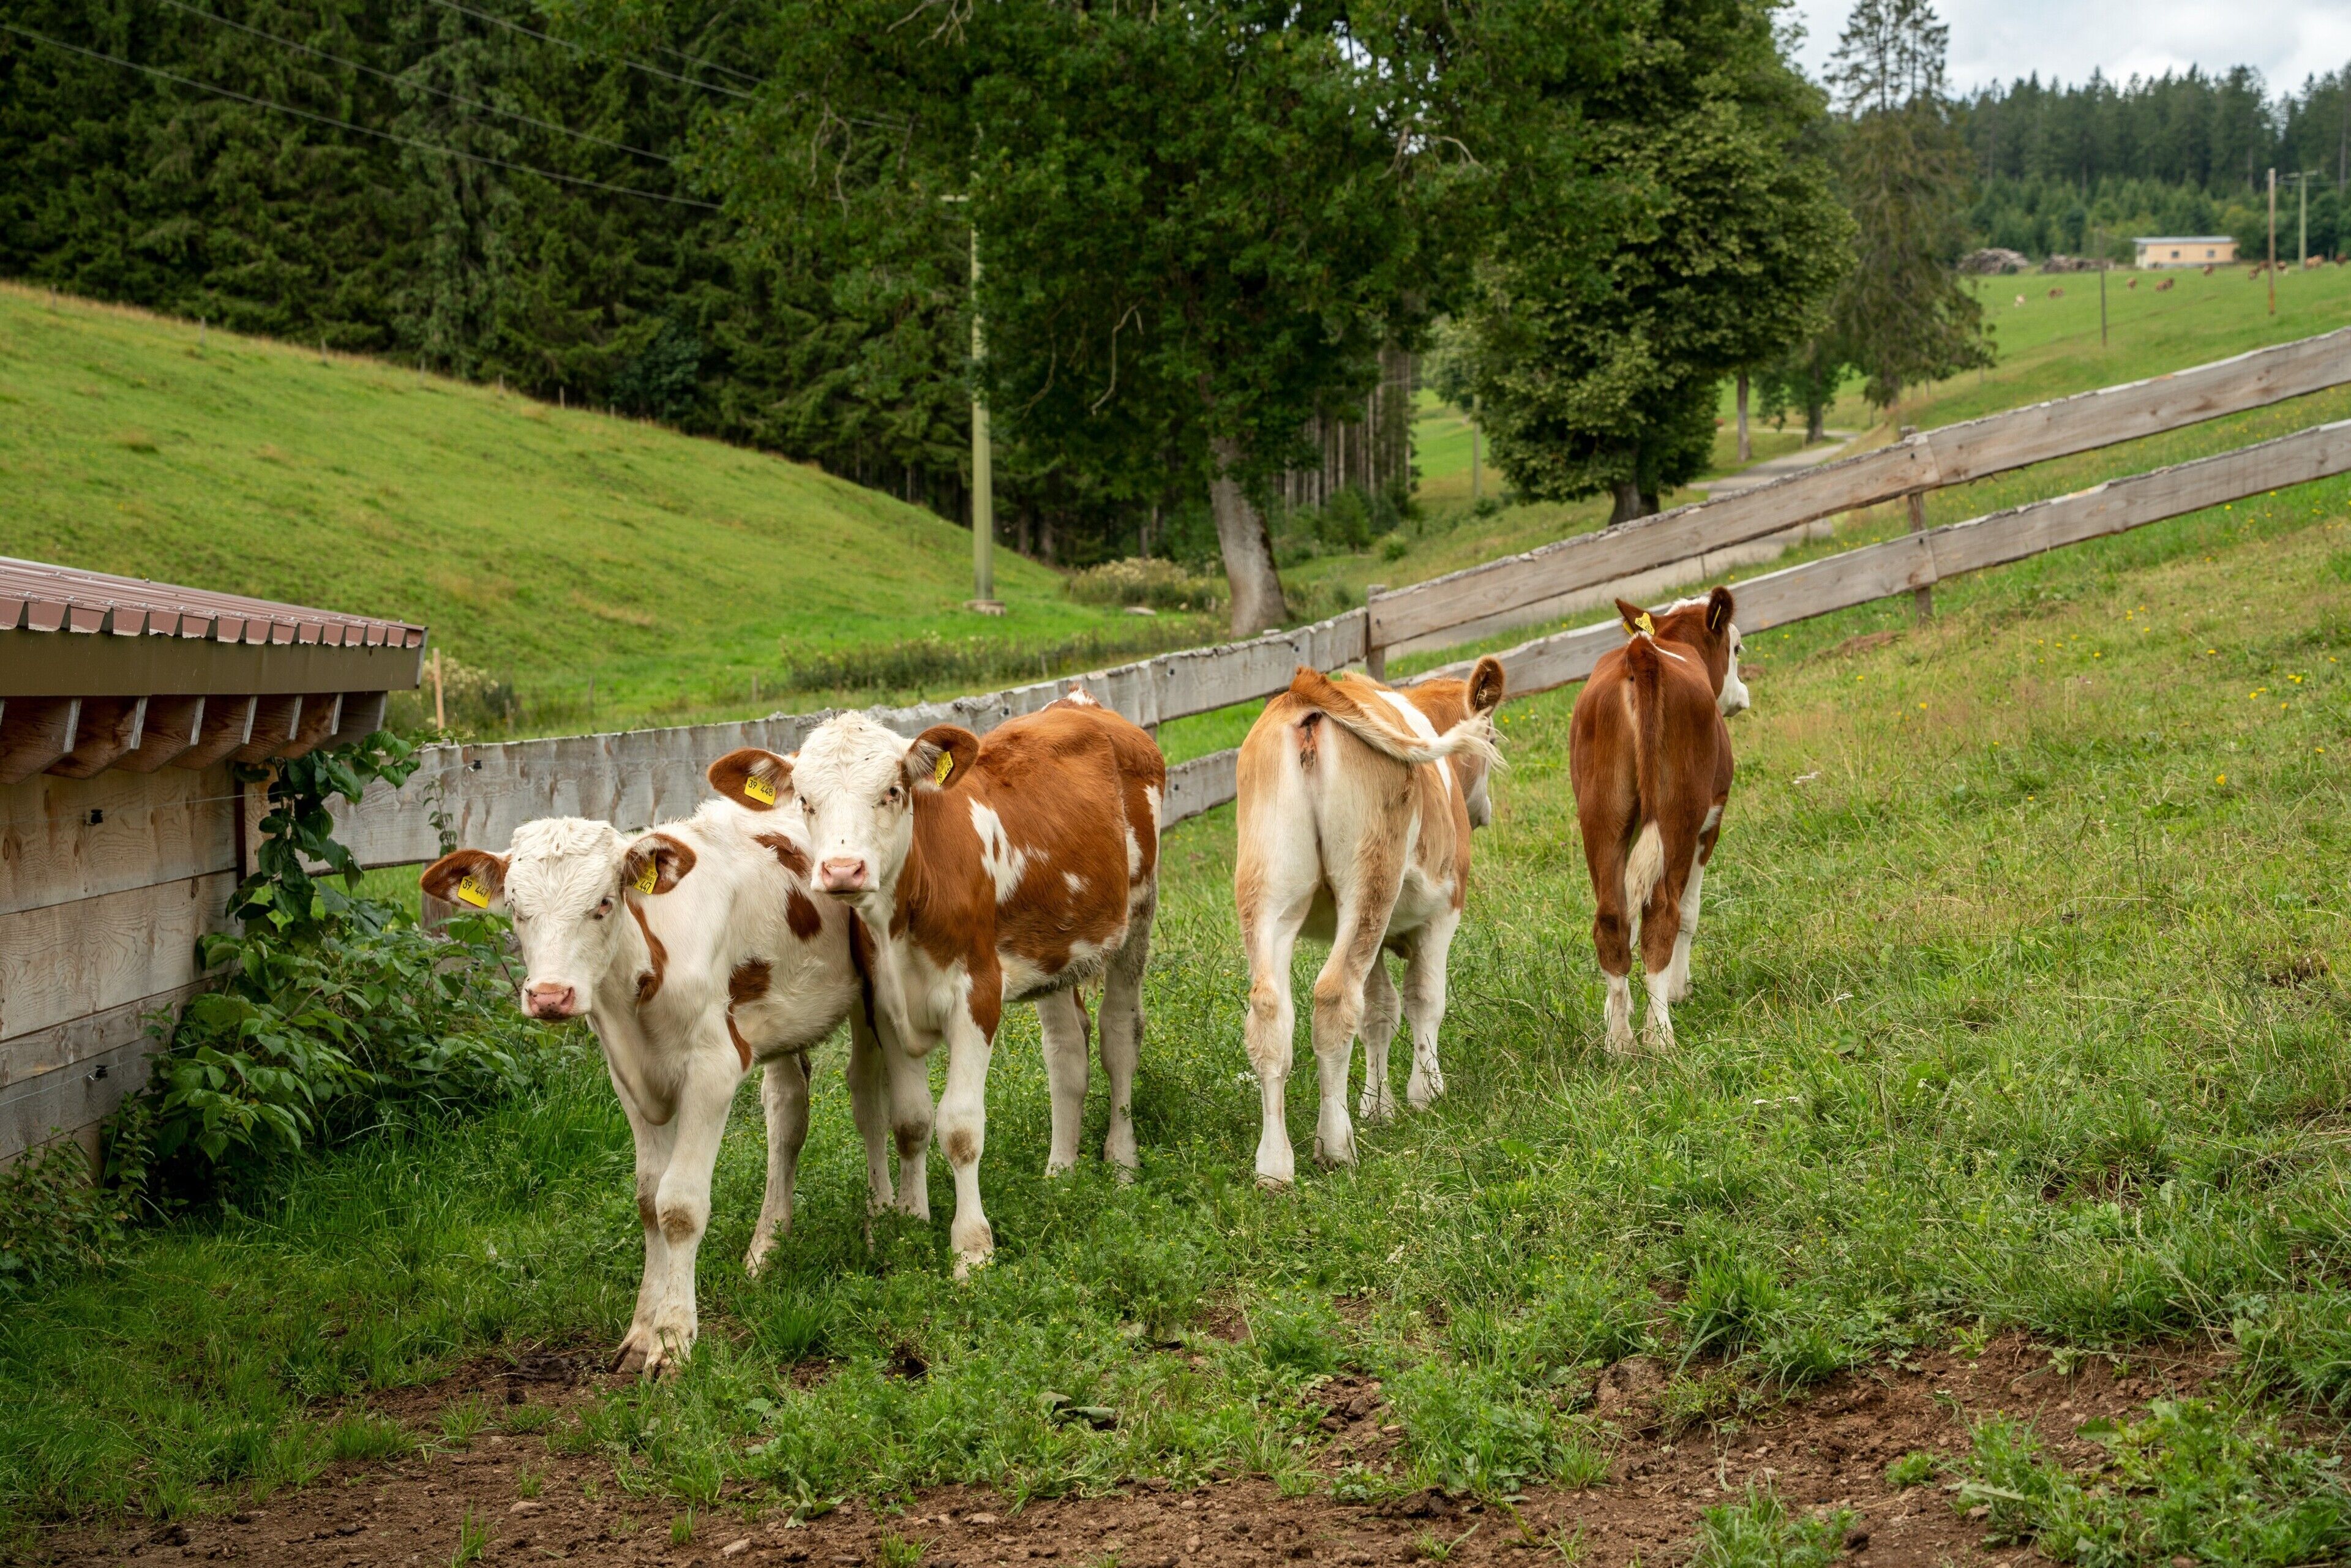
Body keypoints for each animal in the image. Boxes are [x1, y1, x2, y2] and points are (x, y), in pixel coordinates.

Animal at [419, 799, 918, 1375]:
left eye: (604, 902)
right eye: (518, 909)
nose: (549, 995)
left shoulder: (713, 1067)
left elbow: (679, 1205)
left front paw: (673, 1339)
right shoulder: (629, 1078)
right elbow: (647, 1198)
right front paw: (641, 1331)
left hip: (871, 995)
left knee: (868, 1097)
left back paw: (882, 1219)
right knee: (787, 1114)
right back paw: (767, 1248)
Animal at [707, 691, 1165, 1276]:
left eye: (893, 790)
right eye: (805, 800)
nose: (842, 870)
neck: (903, 916)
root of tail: (1081, 702)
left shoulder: (977, 994)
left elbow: (961, 1127)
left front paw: (971, 1248)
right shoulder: (886, 1006)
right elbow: (911, 1120)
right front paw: (909, 1222)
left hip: (1139, 913)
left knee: (1119, 1035)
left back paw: (1122, 1162)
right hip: (1057, 948)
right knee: (1066, 1052)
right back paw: (1060, 1172)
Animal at [1232, 658, 1506, 1187]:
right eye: (1491, 738)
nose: (1484, 812)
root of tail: (1304, 693)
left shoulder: (1377, 939)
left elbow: (1379, 1012)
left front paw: (1377, 1106)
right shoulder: (1444, 910)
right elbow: (1424, 999)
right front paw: (1426, 1091)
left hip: (1269, 891)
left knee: (1271, 1013)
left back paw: (1274, 1165)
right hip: (1370, 880)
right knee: (1335, 996)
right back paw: (1336, 1147)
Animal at [1567, 588, 1750, 1056]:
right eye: (1737, 648)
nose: (1742, 694)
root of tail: (1642, 653)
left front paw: (1616, 1009)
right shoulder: (1709, 824)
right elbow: (1689, 910)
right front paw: (1678, 990)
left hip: (1602, 812)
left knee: (1612, 918)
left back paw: (1619, 1041)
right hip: (1677, 814)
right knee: (1663, 912)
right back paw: (1660, 1036)